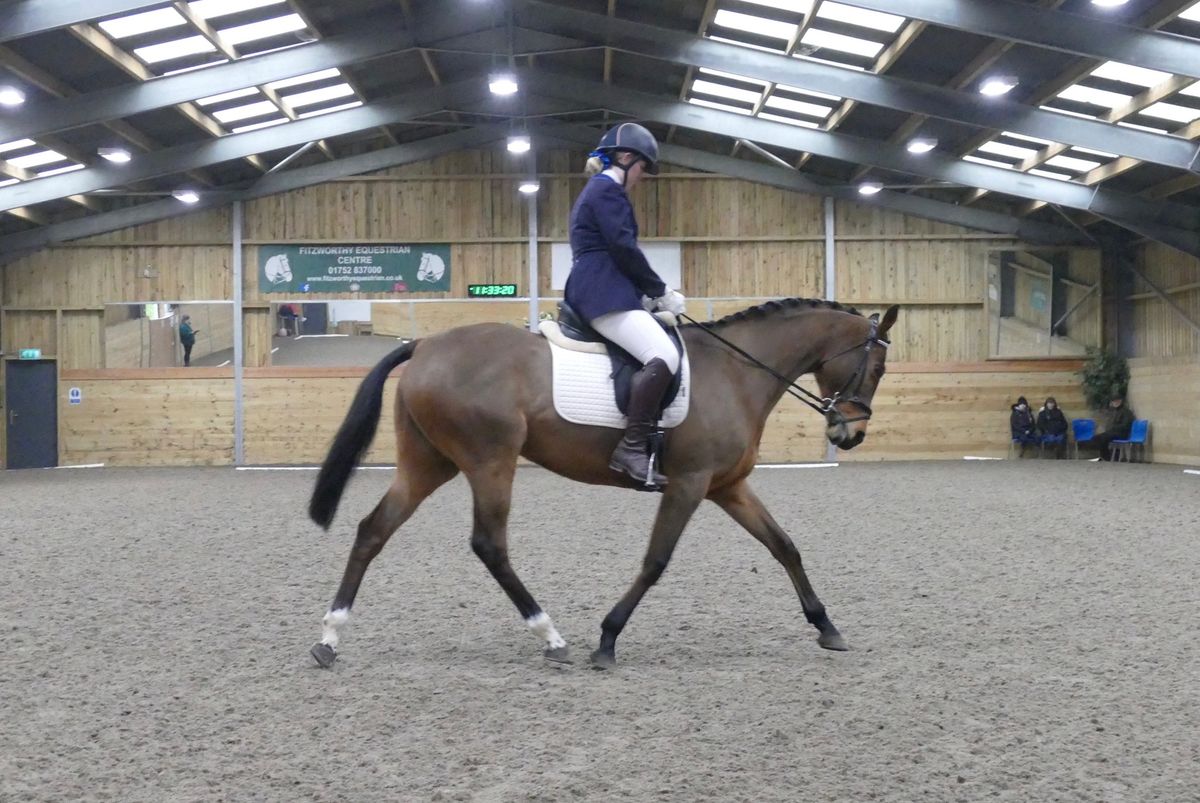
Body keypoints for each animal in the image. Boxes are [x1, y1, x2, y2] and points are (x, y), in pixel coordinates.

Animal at [304, 297, 897, 667]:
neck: (736, 373)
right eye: (877, 369)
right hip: (490, 461)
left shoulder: (727, 486)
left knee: (372, 530)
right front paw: (607, 639)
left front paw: (826, 627)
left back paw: (330, 637)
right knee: (489, 545)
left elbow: (784, 546)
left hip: (429, 463)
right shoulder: (689, 483)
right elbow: (656, 561)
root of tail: (425, 344)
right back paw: (551, 636)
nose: (851, 434)